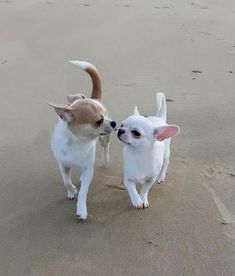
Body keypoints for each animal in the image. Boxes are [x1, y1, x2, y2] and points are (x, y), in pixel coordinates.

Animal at [49, 61, 116, 220]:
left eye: (105, 116)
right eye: (99, 121)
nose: (114, 123)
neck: (78, 141)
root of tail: (95, 98)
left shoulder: (88, 169)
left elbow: (84, 191)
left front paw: (81, 209)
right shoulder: (63, 165)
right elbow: (66, 181)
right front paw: (72, 191)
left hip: (104, 138)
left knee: (105, 146)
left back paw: (105, 160)